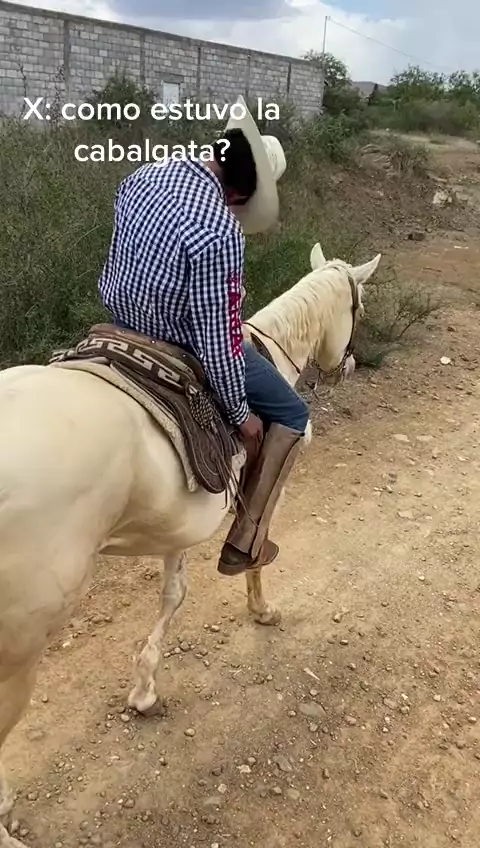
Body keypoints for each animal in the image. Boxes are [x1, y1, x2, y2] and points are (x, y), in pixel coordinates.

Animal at [0, 240, 381, 847]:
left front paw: (144, 689)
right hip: (19, 651)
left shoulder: (178, 523)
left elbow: (173, 594)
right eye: (359, 307)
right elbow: (257, 542)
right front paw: (261, 606)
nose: (347, 364)